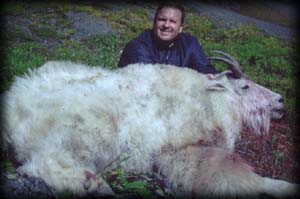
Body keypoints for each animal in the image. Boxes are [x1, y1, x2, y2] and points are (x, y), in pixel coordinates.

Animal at [2, 51, 298, 197]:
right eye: (245, 86)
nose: (280, 101)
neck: (211, 99)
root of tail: (12, 113)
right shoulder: (184, 154)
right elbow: (244, 179)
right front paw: (287, 187)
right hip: (80, 134)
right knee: (41, 166)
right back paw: (98, 186)